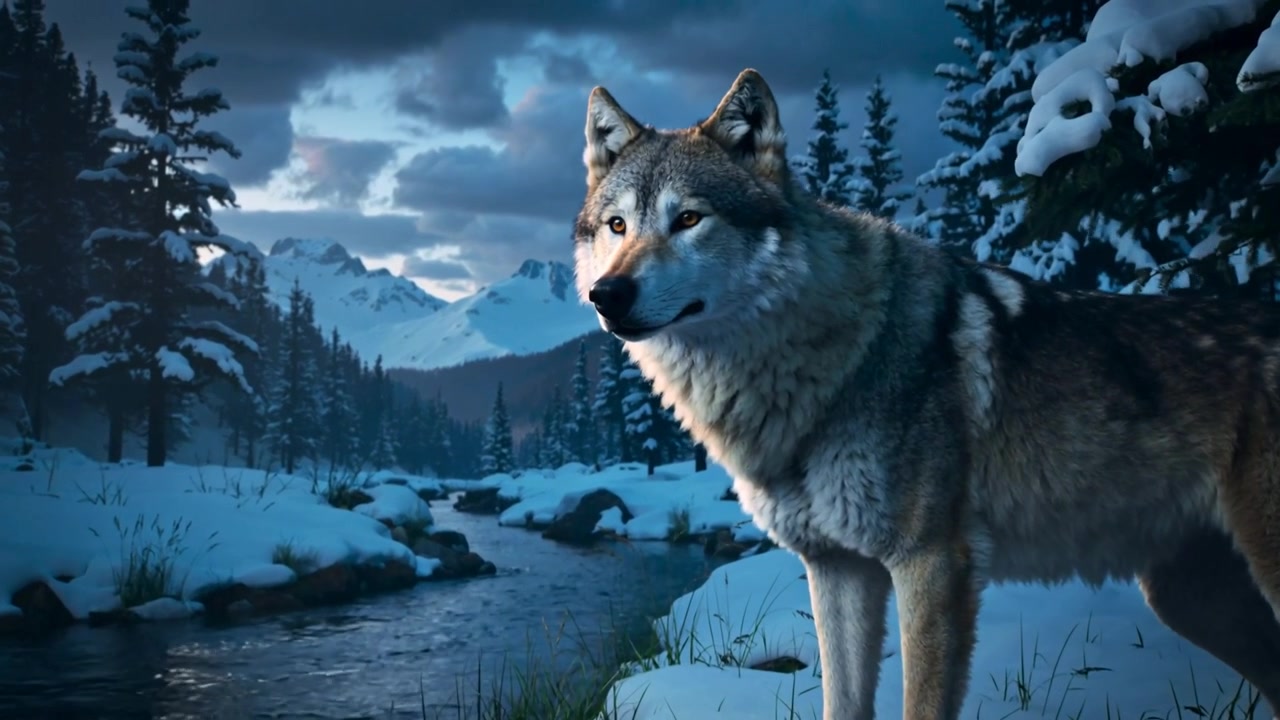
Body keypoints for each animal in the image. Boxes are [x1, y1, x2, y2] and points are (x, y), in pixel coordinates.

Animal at [571, 68, 1280, 720]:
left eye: (689, 219)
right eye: (617, 225)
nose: (607, 295)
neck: (831, 362)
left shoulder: (932, 565)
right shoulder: (836, 568)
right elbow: (841, 703)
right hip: (1186, 598)